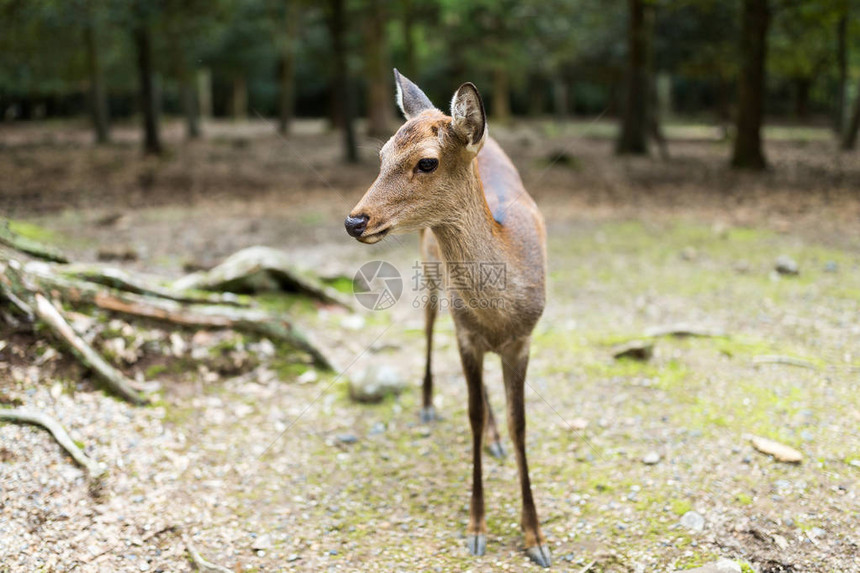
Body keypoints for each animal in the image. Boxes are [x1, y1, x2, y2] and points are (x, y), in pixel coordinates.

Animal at [344, 69, 552, 564]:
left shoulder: (523, 340)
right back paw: (426, 404)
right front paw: (477, 528)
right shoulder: (466, 335)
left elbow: (520, 425)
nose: (355, 221)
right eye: (381, 154)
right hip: (430, 271)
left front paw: (535, 537)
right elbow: (472, 416)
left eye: (426, 162)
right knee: (427, 325)